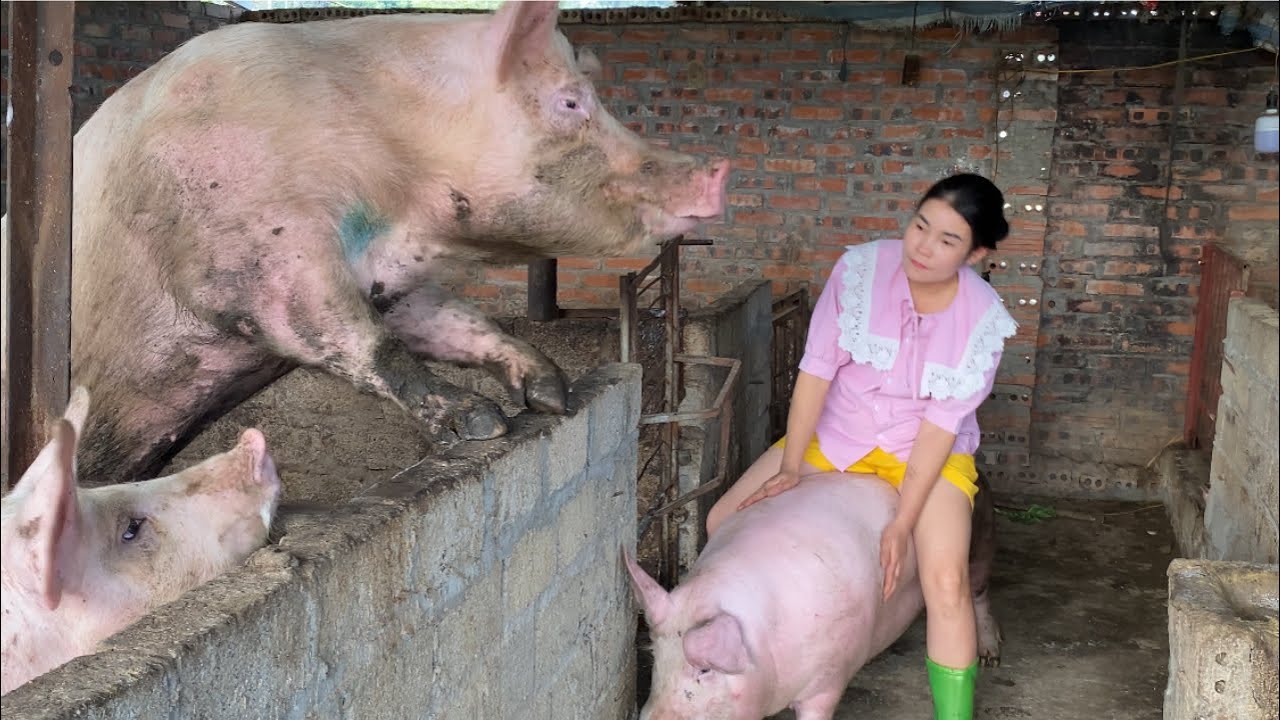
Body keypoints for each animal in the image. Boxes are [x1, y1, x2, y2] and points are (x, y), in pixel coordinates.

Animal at [31, 0, 728, 486]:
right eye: (571, 103)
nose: (717, 170)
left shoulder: (392, 281)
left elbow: (453, 322)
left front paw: (552, 393)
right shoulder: (262, 256)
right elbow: (358, 340)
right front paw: (482, 424)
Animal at [624, 472, 1001, 720]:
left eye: (704, 671)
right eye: (657, 658)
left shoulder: (830, 678)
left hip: (975, 545)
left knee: (976, 596)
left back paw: (990, 657)